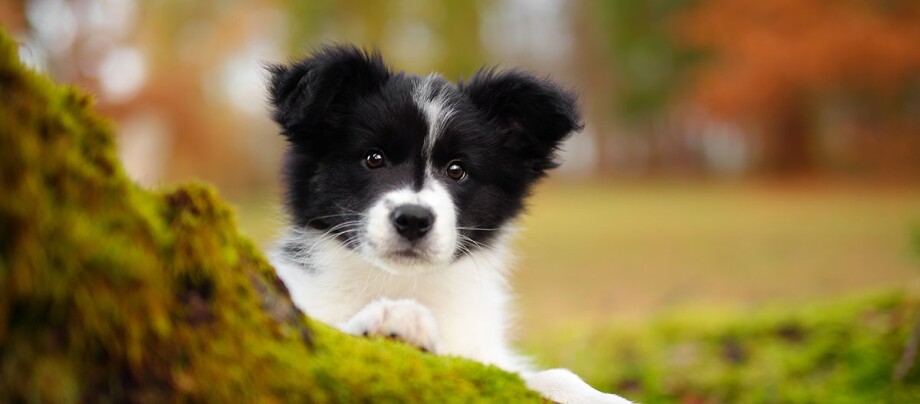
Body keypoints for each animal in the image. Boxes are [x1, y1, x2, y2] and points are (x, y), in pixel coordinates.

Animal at [266, 45, 632, 402]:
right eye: (374, 158)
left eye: (457, 170)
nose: (413, 219)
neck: (403, 282)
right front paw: (394, 317)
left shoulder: (482, 353)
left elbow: (545, 375)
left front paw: (598, 396)